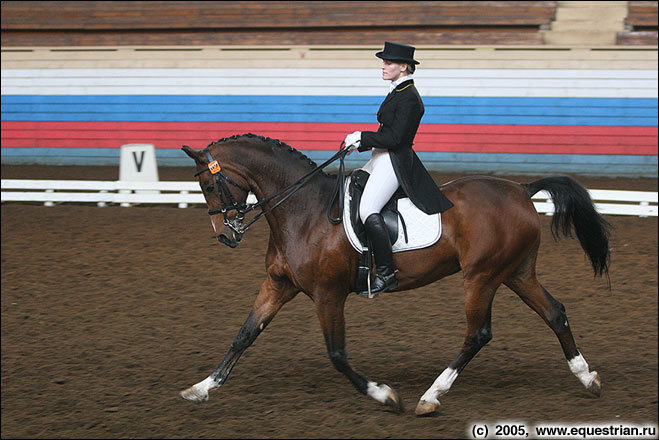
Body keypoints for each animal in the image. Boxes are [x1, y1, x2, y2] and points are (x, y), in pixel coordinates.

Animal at [178, 132, 612, 414]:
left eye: (209, 185)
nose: (225, 236)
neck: (303, 210)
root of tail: (521, 189)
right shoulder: (279, 284)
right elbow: (244, 335)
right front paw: (200, 388)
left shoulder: (328, 294)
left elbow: (337, 354)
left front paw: (385, 395)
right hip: (515, 272)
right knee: (555, 312)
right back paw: (587, 377)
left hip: (482, 276)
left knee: (479, 334)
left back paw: (430, 397)